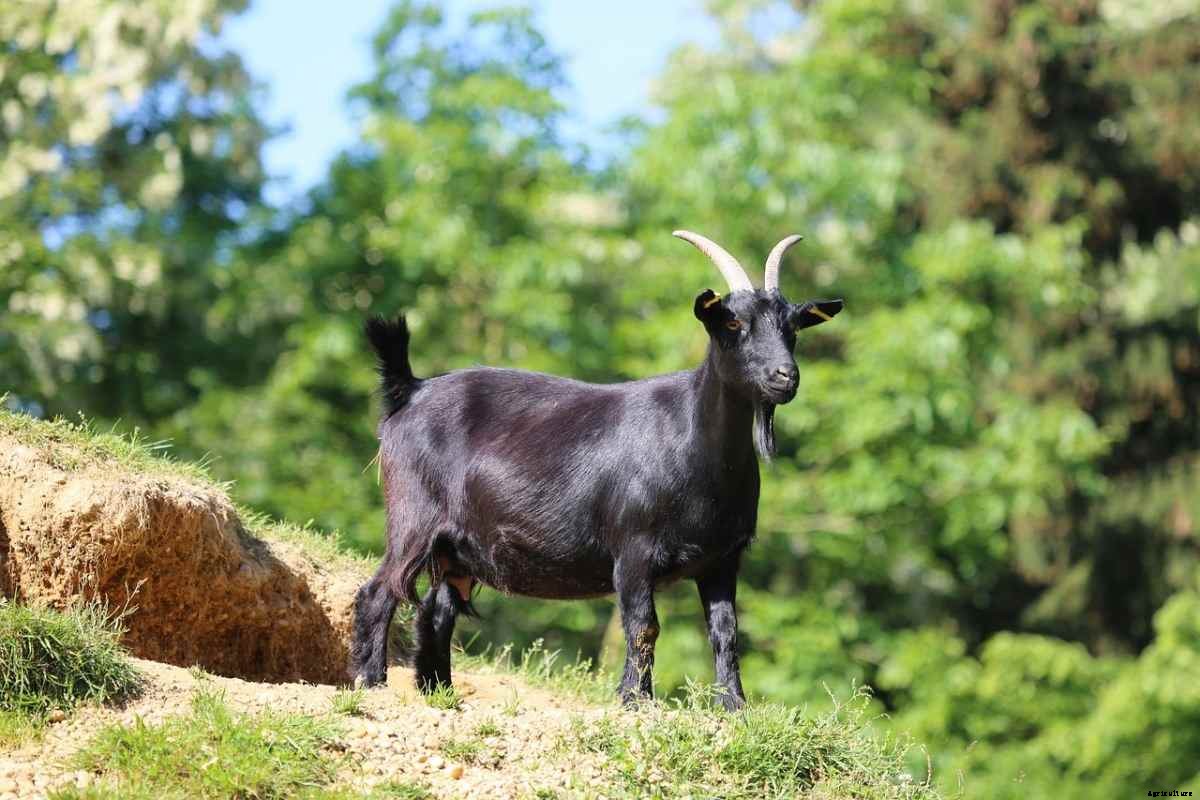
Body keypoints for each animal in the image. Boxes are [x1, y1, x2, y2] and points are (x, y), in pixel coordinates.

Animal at [350, 231, 843, 709]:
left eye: (792, 328)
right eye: (734, 323)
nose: (786, 376)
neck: (694, 445)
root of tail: (411, 389)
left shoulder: (722, 558)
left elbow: (726, 633)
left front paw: (735, 707)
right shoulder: (634, 551)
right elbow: (644, 626)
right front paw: (637, 701)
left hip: (457, 549)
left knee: (436, 611)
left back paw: (441, 693)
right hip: (415, 517)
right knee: (379, 592)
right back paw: (370, 683)